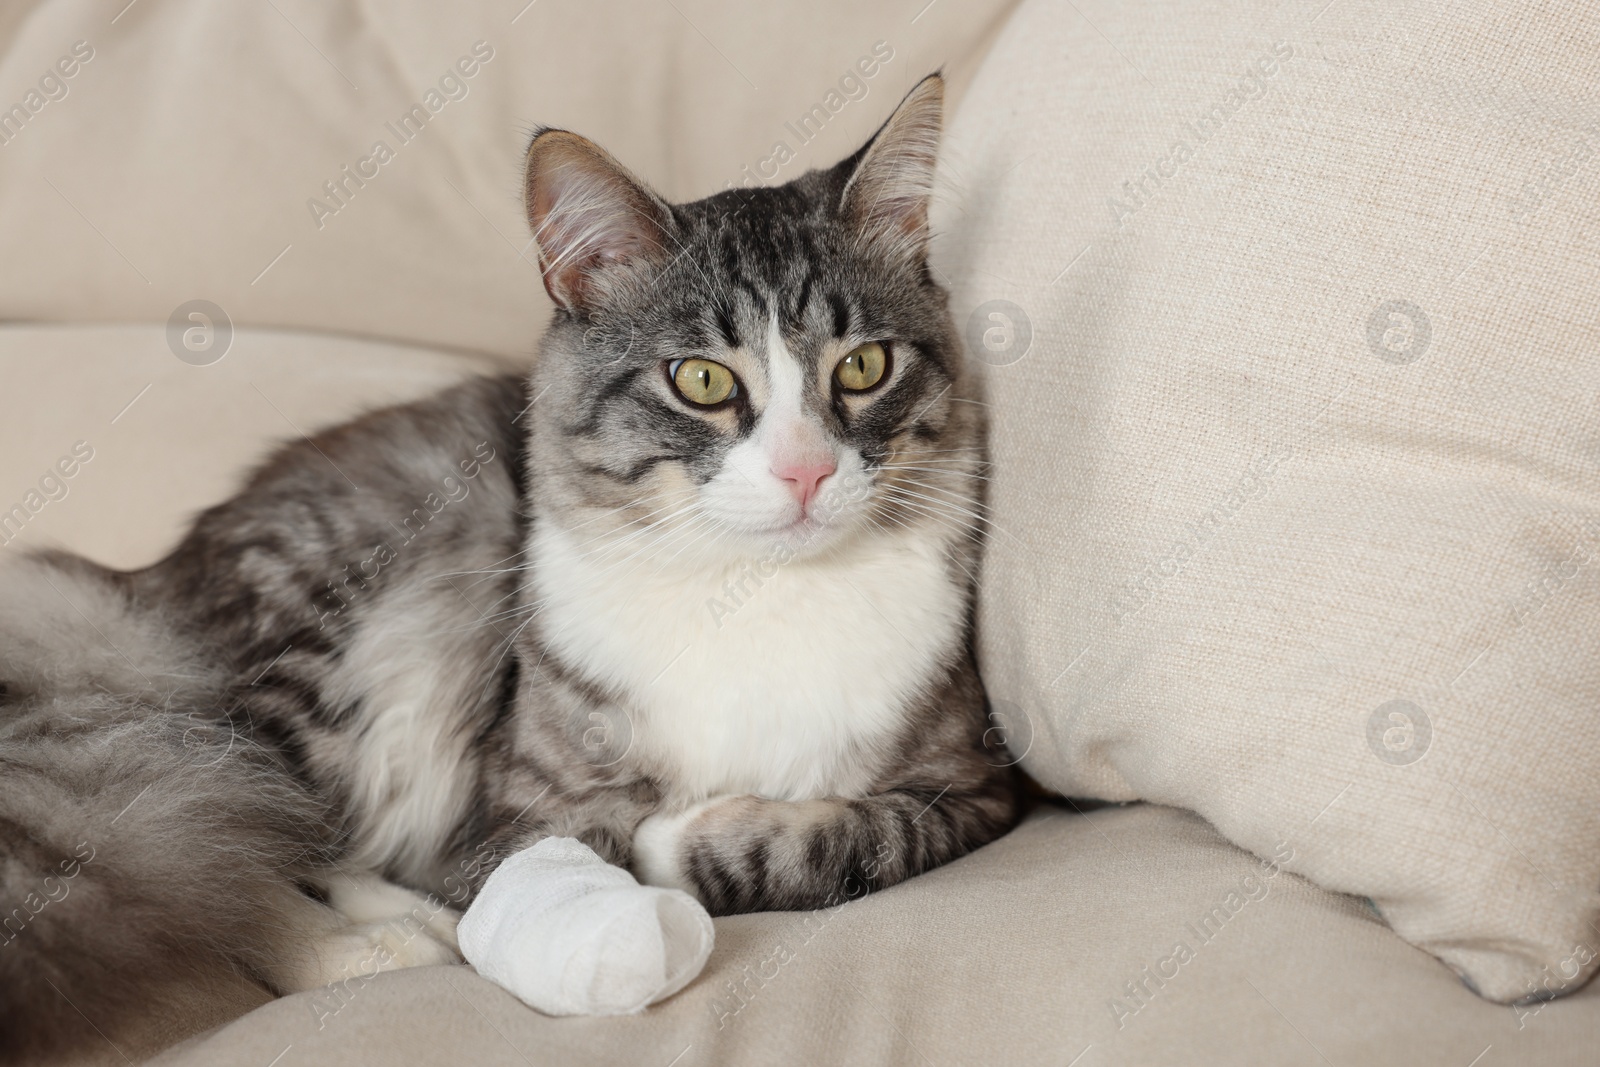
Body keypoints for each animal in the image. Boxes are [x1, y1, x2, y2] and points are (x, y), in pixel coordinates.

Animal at [0, 73, 1017, 1062]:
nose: (806, 472)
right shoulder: (520, 807)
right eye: (701, 380)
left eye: (865, 367)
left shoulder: (976, 786)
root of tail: (146, 580)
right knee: (240, 847)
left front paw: (686, 834)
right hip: (323, 669)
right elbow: (572, 868)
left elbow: (843, 839)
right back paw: (378, 941)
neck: (758, 594)